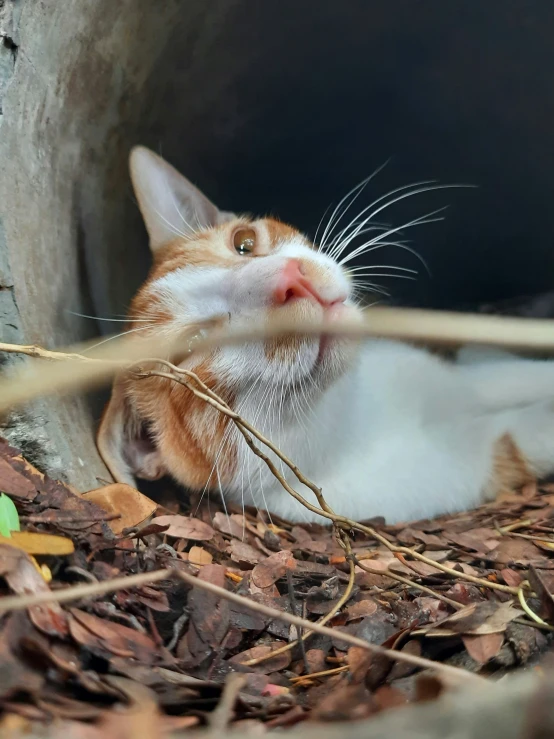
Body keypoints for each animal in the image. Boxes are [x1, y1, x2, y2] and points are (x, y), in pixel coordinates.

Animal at [96, 146, 554, 528]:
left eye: (243, 243)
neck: (350, 417)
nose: (290, 279)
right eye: (192, 346)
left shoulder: (453, 378)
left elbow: (515, 375)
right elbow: (530, 431)